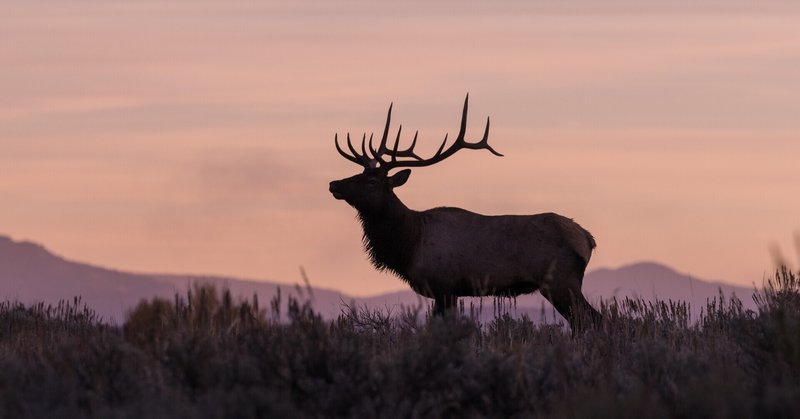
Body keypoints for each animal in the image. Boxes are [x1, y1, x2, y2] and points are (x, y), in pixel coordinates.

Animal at [326, 96, 600, 332]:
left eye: (372, 181)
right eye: (358, 173)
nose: (334, 184)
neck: (410, 243)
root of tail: (588, 238)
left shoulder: (444, 285)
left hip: (561, 281)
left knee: (592, 320)